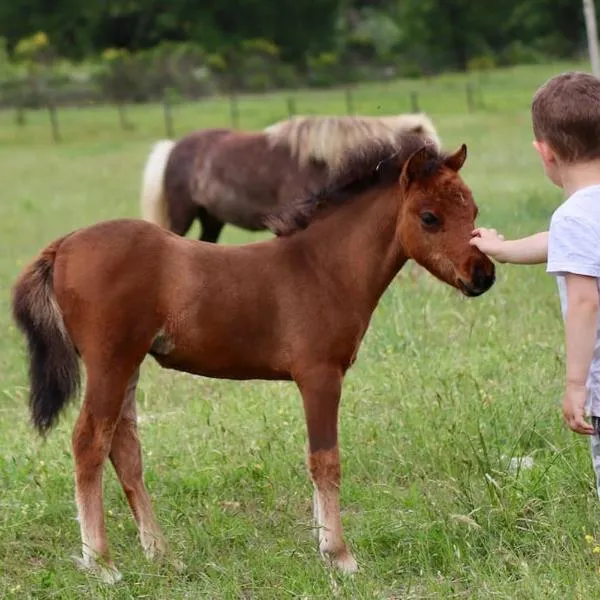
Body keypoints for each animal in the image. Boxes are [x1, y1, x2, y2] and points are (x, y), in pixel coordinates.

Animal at [12, 134, 492, 584]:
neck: (322, 268)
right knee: (89, 441)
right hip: (109, 362)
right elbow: (325, 460)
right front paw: (340, 556)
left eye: (473, 211)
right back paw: (102, 564)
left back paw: (161, 554)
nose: (483, 275)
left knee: (125, 447)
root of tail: (62, 247)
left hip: (128, 364)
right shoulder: (320, 375)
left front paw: (324, 546)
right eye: (429, 217)